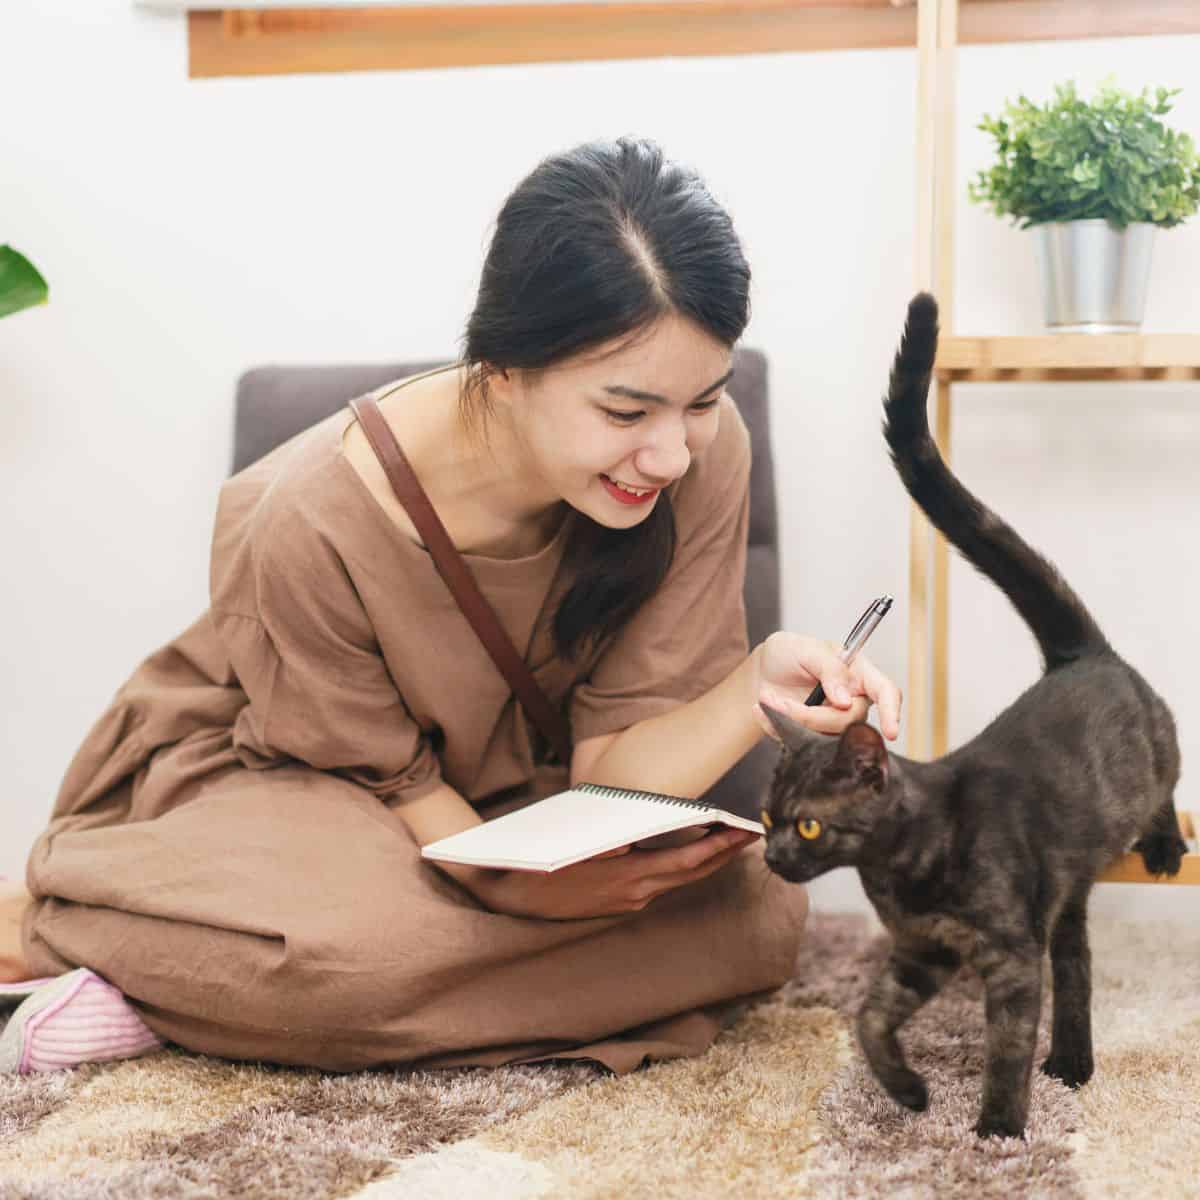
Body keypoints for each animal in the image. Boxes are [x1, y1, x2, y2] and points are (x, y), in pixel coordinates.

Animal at [763, 295, 1185, 1137]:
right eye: (766, 818)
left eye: (810, 826)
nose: (771, 857)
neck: (900, 866)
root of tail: (1079, 655)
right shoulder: (921, 954)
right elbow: (868, 1019)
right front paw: (906, 1091)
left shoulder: (1007, 955)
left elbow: (1006, 1045)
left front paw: (997, 1129)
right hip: (1066, 889)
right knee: (1077, 963)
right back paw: (1074, 1059)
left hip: (1155, 761)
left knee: (1167, 789)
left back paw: (1164, 845)